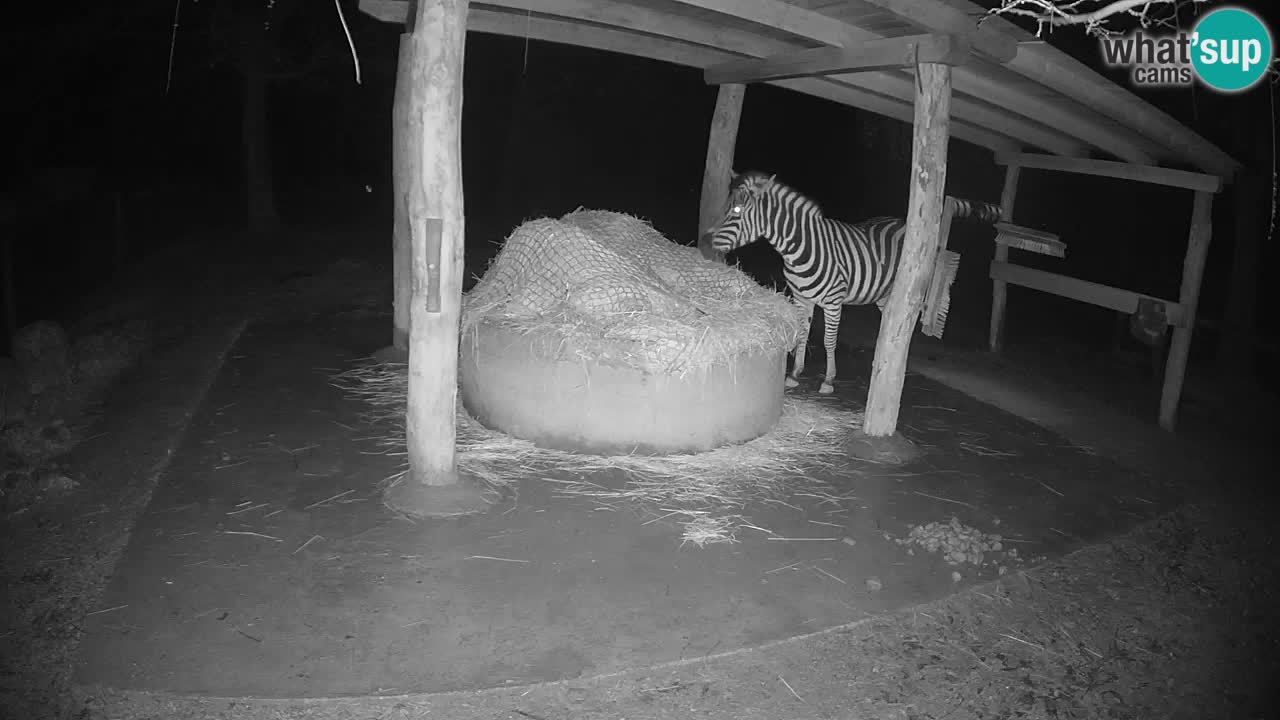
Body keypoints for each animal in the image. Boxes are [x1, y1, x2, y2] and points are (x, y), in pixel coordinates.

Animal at [701, 171, 1001, 394]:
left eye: (736, 209)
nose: (704, 240)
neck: (799, 249)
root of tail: (902, 221)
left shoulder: (834, 302)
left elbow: (829, 340)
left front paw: (828, 380)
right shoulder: (801, 297)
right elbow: (802, 333)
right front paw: (795, 373)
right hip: (884, 296)